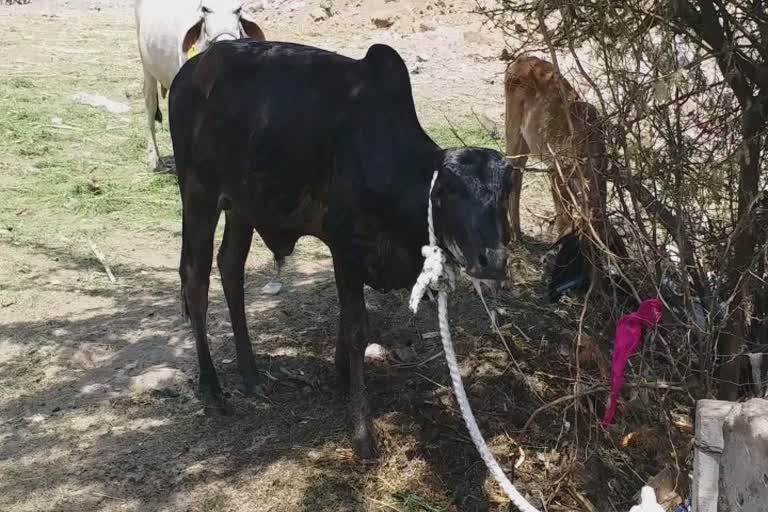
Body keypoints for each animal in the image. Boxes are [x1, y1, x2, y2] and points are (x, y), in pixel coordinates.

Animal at [169, 40, 514, 459]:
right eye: (449, 190)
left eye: (504, 193)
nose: (491, 259)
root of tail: (191, 71)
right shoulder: (345, 249)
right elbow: (356, 330)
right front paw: (362, 432)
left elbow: (348, 324)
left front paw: (342, 377)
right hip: (198, 196)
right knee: (195, 280)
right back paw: (211, 385)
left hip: (242, 206)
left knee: (230, 267)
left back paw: (250, 374)